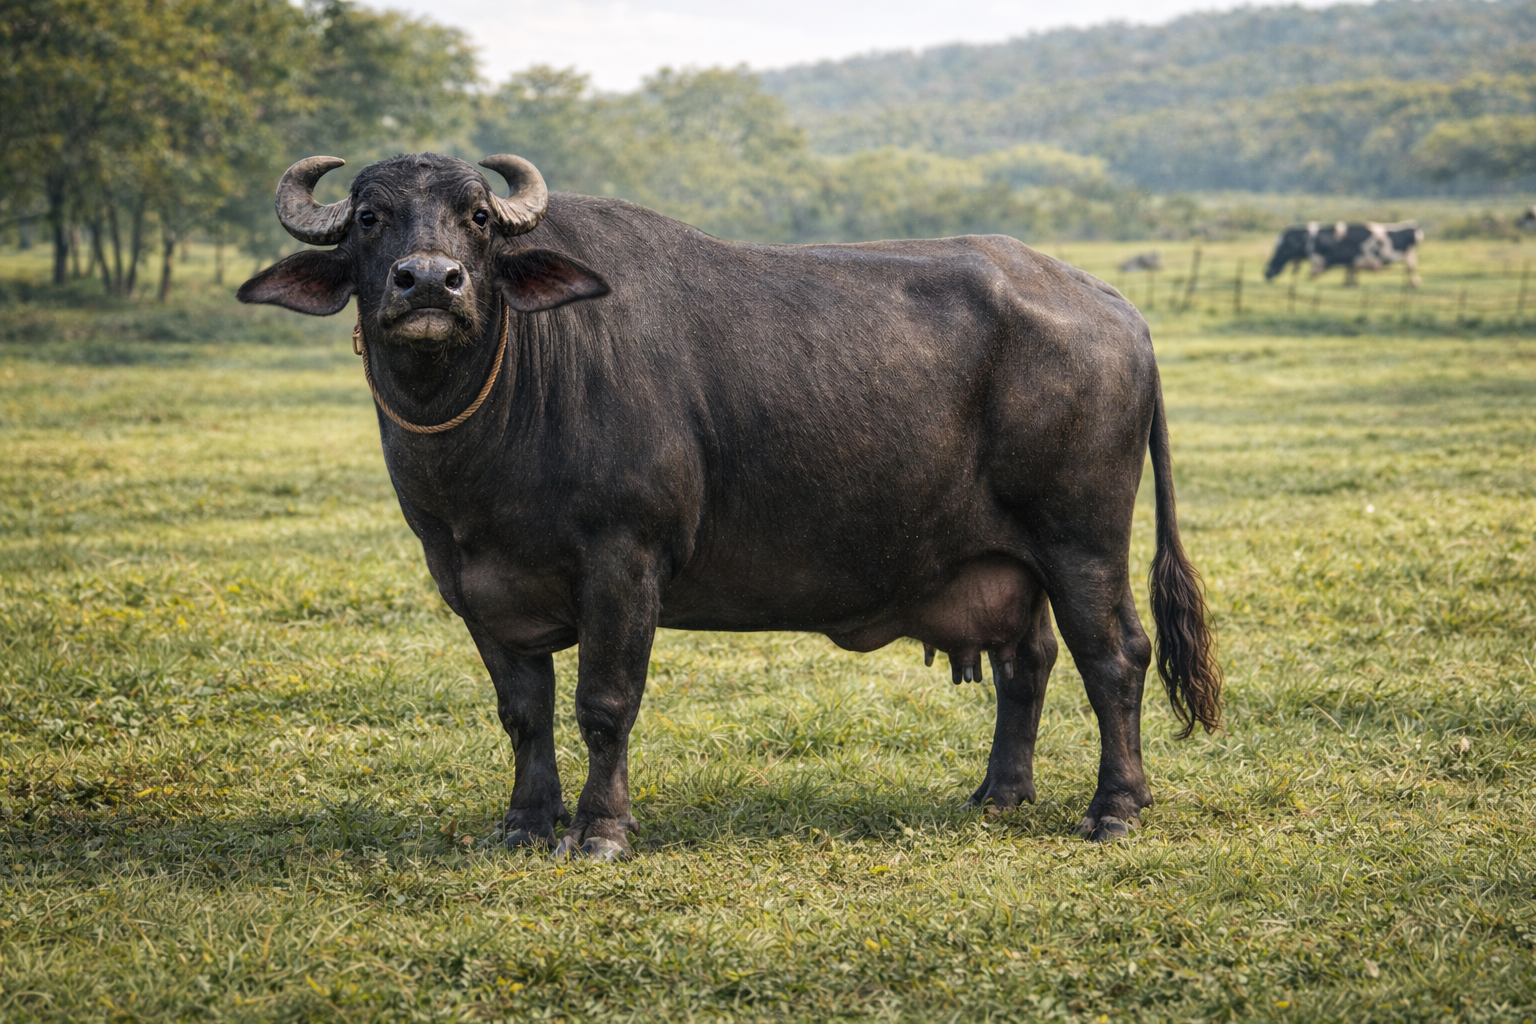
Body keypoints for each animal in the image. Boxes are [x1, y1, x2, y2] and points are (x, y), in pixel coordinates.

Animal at [238, 152, 1222, 860]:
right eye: (371, 217)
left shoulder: (624, 561)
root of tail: (1118, 310)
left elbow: (604, 702)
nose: (430, 283)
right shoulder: (473, 584)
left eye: (477, 218)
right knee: (1029, 660)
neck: (503, 403)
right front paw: (524, 822)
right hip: (1010, 561)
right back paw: (1001, 793)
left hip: (1081, 539)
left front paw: (598, 830)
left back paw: (1116, 808)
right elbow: (524, 713)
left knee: (1114, 656)